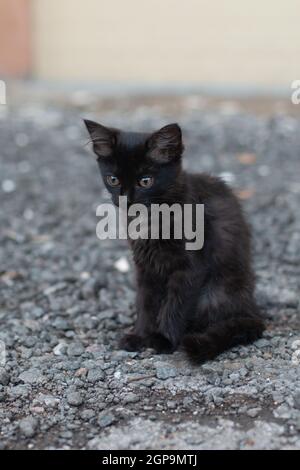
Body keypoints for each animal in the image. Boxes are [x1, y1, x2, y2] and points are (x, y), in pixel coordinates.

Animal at [84, 119, 264, 362]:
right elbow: (146, 303)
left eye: (146, 181)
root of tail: (251, 307)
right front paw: (140, 335)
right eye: (113, 179)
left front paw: (163, 340)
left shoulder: (190, 268)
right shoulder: (145, 267)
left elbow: (176, 306)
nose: (127, 200)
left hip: (216, 291)